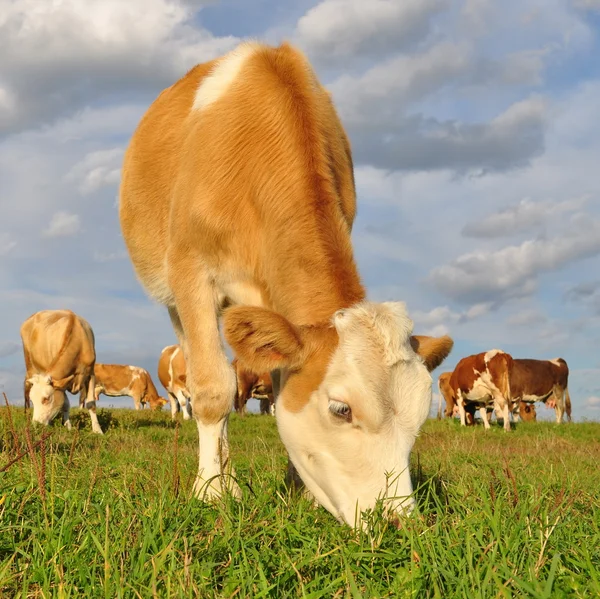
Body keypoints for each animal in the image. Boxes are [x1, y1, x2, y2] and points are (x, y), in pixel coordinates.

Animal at [119, 41, 452, 528]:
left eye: (420, 416)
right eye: (341, 409)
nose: (397, 522)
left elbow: (280, 394)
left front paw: (301, 493)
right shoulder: (192, 271)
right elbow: (214, 389)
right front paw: (212, 493)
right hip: (174, 297)